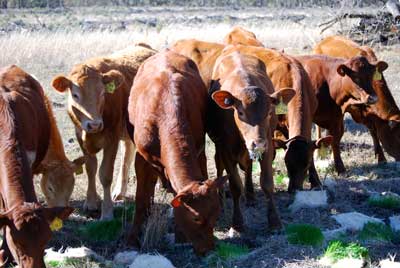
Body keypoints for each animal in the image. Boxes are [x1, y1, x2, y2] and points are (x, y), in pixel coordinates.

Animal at [52, 44, 158, 220]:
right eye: (75, 95)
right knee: (127, 155)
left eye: (103, 93)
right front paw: (90, 203)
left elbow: (105, 174)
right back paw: (119, 192)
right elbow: (90, 168)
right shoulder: (80, 136)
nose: (94, 124)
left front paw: (107, 212)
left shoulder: (111, 139)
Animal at [128, 49, 228, 255]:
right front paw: (133, 238)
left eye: (216, 215)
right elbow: (140, 198)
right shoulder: (141, 158)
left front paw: (180, 236)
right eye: (196, 218)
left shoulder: (198, 147)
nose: (208, 249)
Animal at [209, 46, 294, 230]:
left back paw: (250, 196)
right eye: (240, 112)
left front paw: (274, 220)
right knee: (219, 165)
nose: (258, 142)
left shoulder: (268, 146)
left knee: (248, 167)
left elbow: (267, 183)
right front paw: (237, 222)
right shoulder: (225, 149)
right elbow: (235, 185)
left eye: (269, 112)